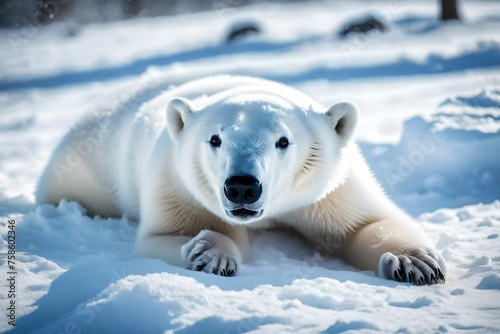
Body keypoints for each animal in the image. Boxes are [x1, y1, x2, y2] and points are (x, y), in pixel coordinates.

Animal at [37, 75, 448, 284]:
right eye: (215, 139)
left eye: (283, 140)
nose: (243, 186)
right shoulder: (180, 184)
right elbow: (169, 233)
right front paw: (210, 253)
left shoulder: (326, 192)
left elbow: (367, 223)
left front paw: (415, 263)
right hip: (83, 166)